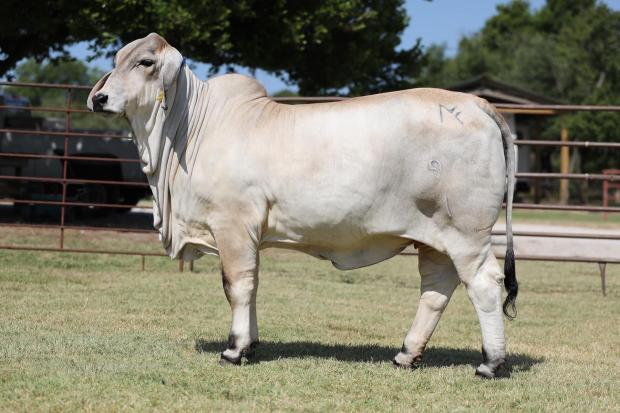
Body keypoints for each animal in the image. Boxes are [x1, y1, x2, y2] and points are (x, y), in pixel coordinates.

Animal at [87, 33, 520, 378]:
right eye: (116, 60)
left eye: (145, 62)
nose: (100, 98)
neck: (191, 128)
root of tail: (478, 104)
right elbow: (254, 284)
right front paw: (252, 344)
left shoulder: (232, 224)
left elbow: (237, 285)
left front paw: (234, 348)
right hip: (434, 237)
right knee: (435, 290)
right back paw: (405, 355)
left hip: (467, 233)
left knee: (484, 284)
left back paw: (490, 363)